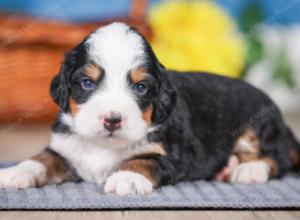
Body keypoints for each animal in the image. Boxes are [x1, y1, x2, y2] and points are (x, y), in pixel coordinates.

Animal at [0, 21, 300, 194]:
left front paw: (126, 177)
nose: (112, 120)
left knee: (277, 158)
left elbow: (145, 159)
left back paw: (247, 170)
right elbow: (41, 160)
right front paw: (14, 173)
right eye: (87, 82)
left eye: (141, 87)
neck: (105, 145)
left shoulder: (175, 153)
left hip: (258, 124)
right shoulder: (66, 149)